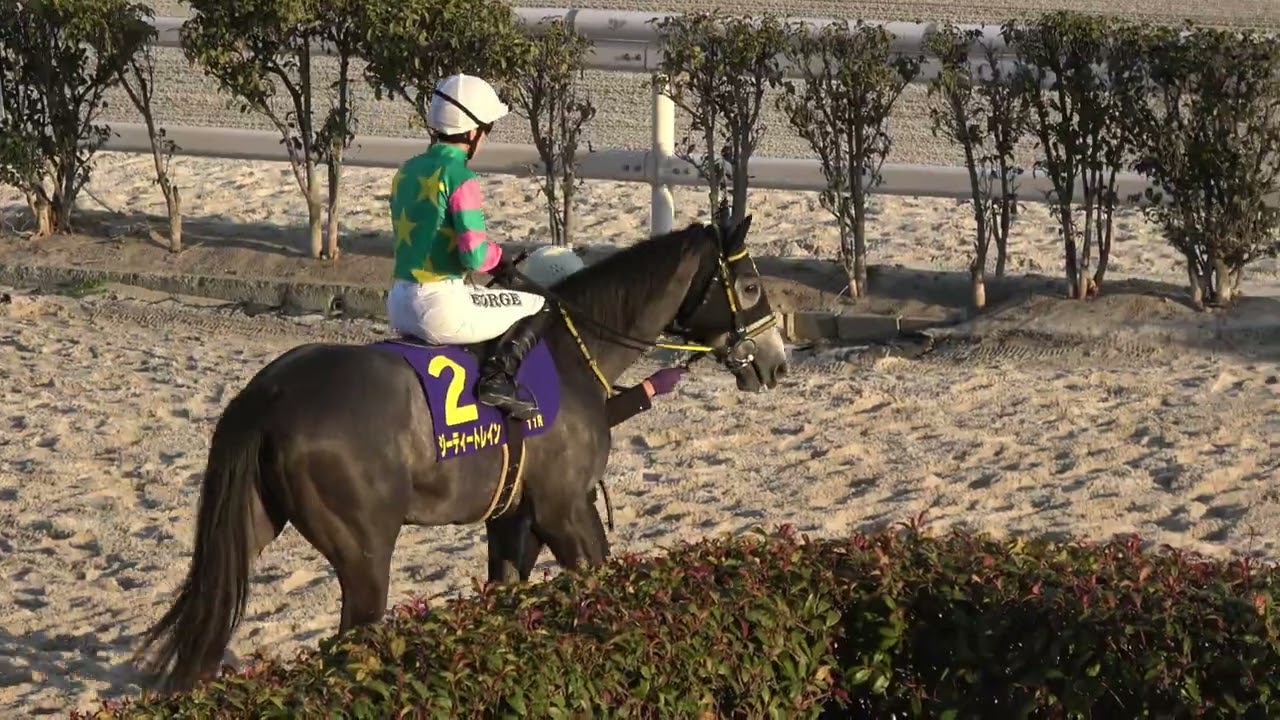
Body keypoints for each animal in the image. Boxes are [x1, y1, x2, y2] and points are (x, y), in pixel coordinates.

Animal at [131, 214, 790, 693]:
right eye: (751, 285)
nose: (777, 362)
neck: (573, 351)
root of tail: (268, 393)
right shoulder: (565, 509)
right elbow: (602, 579)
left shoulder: (514, 516)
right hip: (365, 547)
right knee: (351, 638)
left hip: (250, 523)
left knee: (210, 623)